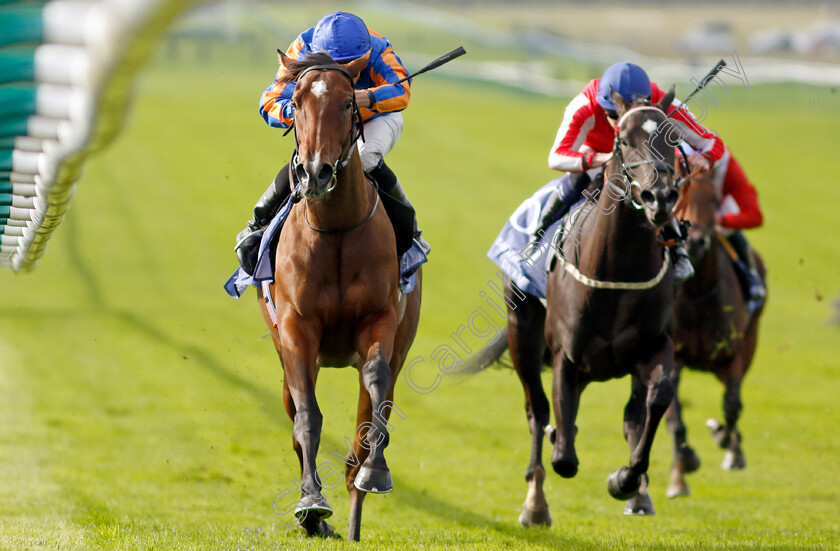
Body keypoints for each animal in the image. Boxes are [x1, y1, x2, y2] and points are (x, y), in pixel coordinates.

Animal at [258, 51, 420, 544]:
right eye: (296, 103)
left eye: (350, 102)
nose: (316, 172)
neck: (336, 231)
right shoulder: (296, 329)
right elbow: (306, 417)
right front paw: (311, 502)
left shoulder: (380, 320)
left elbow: (376, 388)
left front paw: (376, 473)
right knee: (295, 413)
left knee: (368, 422)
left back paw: (356, 503)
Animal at [664, 166, 768, 498]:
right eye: (678, 195)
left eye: (712, 198)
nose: (696, 242)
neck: (698, 292)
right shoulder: (675, 357)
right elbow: (676, 420)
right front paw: (684, 465)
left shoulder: (734, 353)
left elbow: (732, 406)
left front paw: (725, 441)